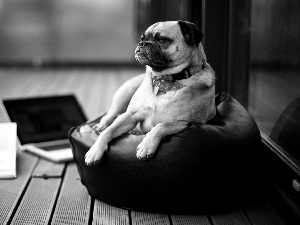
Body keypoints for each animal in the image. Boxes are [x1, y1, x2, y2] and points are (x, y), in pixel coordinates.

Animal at [84, 20, 216, 165]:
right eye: (142, 38)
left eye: (161, 39)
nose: (141, 43)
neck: (164, 78)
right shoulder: (130, 115)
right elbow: (109, 131)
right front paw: (95, 150)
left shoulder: (184, 122)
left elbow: (160, 126)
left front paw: (146, 146)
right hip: (122, 96)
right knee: (110, 116)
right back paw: (101, 126)